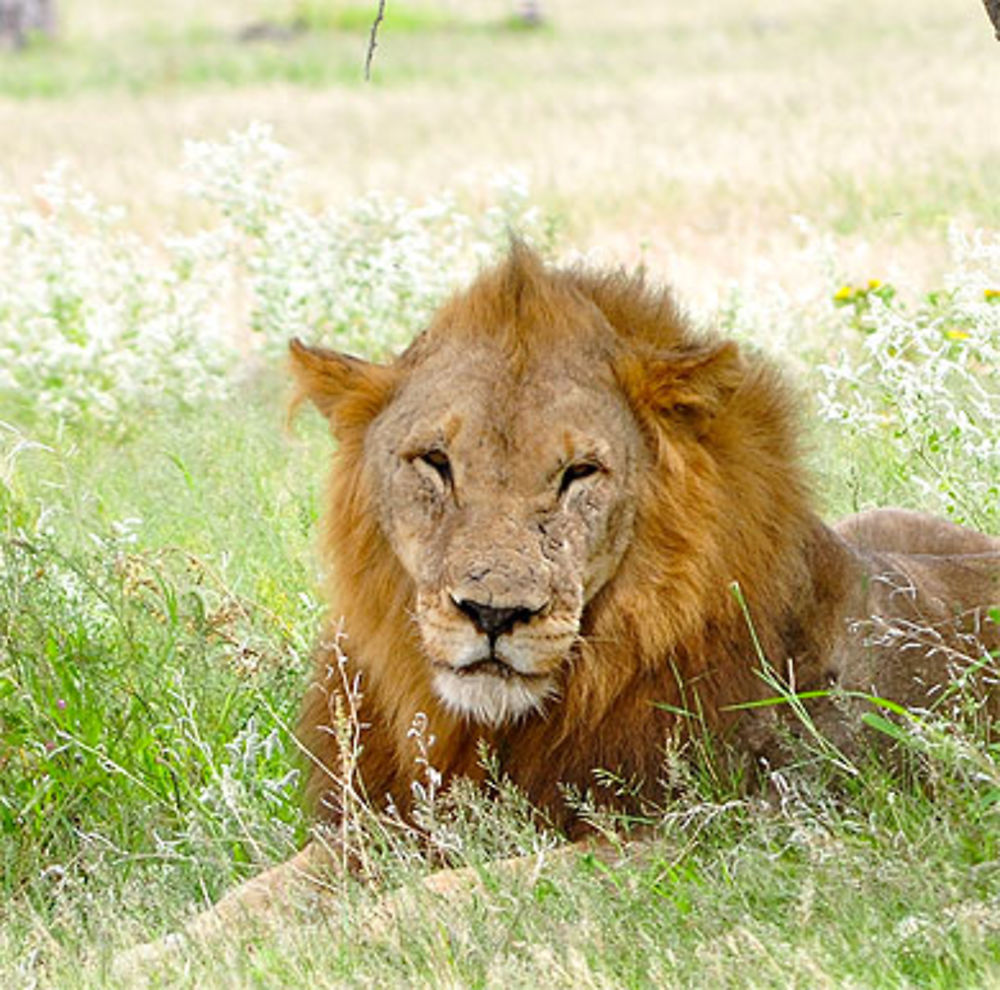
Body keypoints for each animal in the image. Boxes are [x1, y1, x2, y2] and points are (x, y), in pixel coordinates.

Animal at [117, 244, 1000, 972]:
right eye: (434, 462)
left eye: (579, 474)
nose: (492, 614)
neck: (495, 731)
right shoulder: (380, 825)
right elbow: (244, 902)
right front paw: (140, 958)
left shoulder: (722, 833)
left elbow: (459, 893)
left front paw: (329, 946)